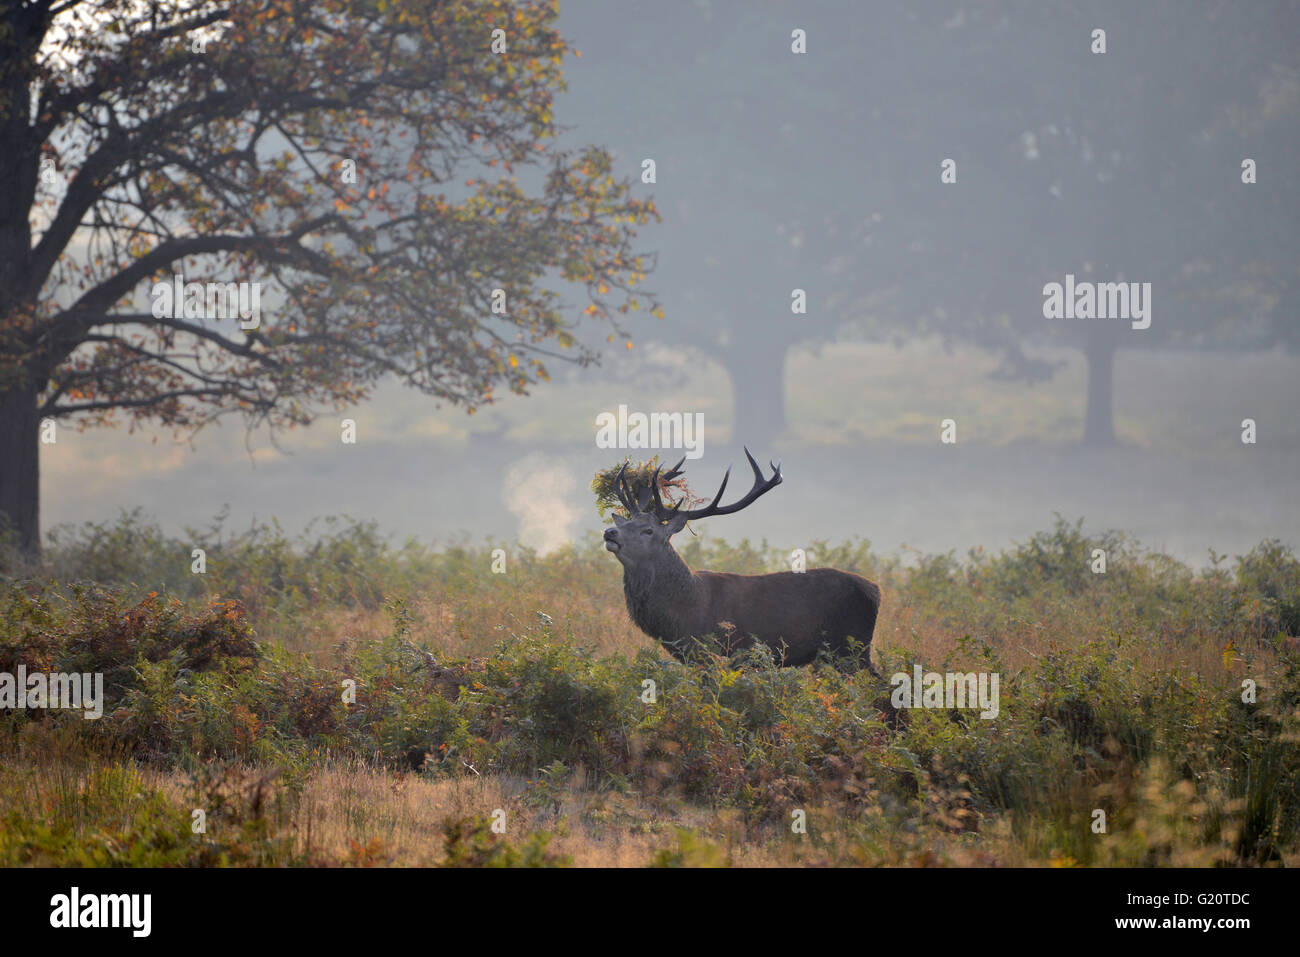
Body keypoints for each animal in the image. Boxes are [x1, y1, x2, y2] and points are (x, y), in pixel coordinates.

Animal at [603, 450, 881, 675]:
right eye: (626, 522)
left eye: (648, 530)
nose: (610, 532)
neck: (688, 612)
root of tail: (876, 591)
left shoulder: (725, 651)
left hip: (852, 646)